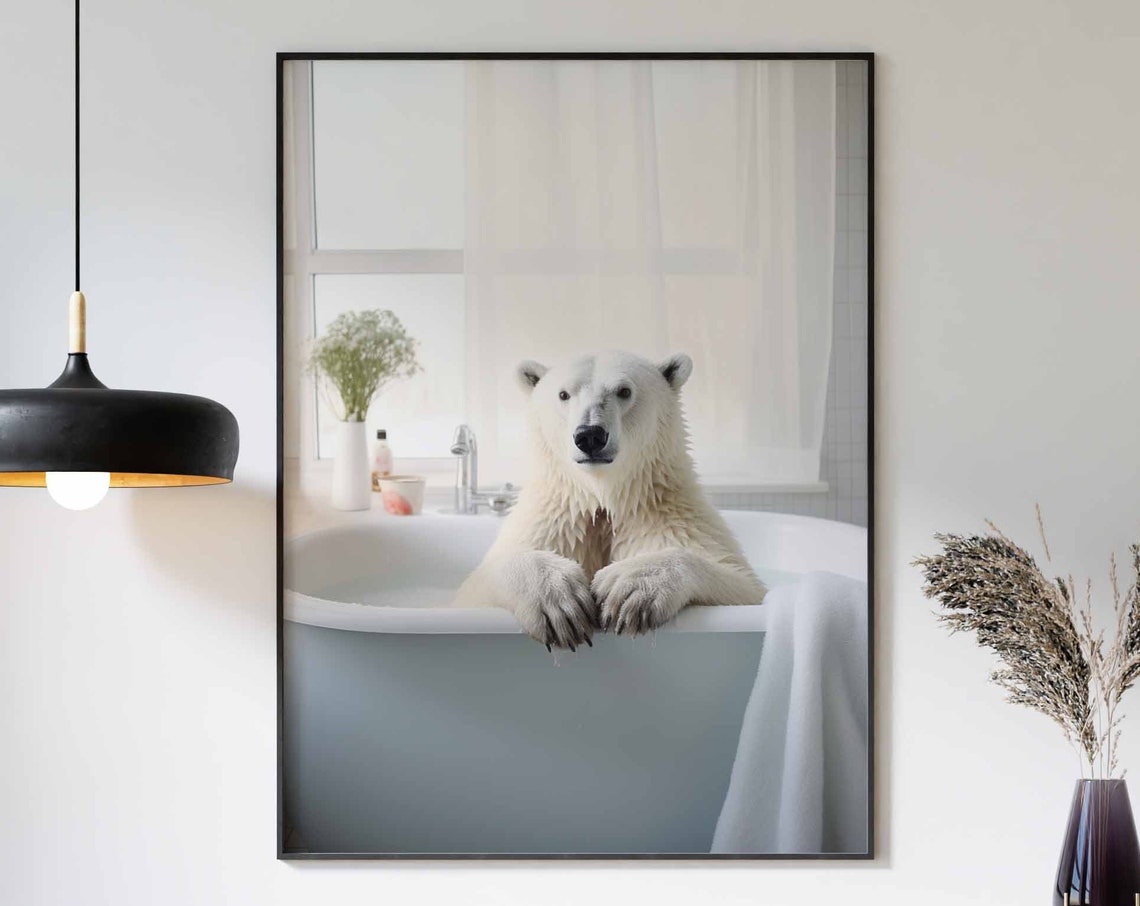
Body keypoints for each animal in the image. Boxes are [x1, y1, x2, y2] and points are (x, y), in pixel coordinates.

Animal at [455, 350, 768, 650]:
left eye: (624, 391)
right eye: (564, 394)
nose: (590, 435)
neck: (602, 497)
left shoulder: (667, 515)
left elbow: (742, 583)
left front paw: (628, 588)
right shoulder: (553, 522)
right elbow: (476, 587)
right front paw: (561, 602)